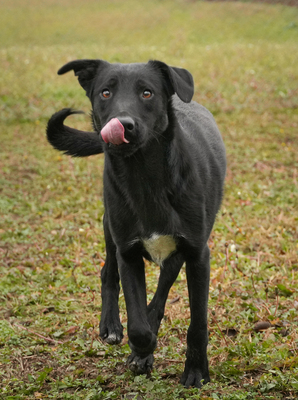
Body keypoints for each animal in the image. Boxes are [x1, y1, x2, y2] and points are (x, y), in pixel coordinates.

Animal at [46, 59, 226, 388]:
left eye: (147, 93)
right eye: (105, 93)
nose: (123, 124)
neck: (145, 176)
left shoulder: (197, 254)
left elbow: (197, 322)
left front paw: (195, 371)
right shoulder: (128, 253)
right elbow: (138, 324)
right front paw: (142, 349)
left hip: (178, 251)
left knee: (163, 285)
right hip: (109, 227)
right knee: (107, 271)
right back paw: (112, 326)